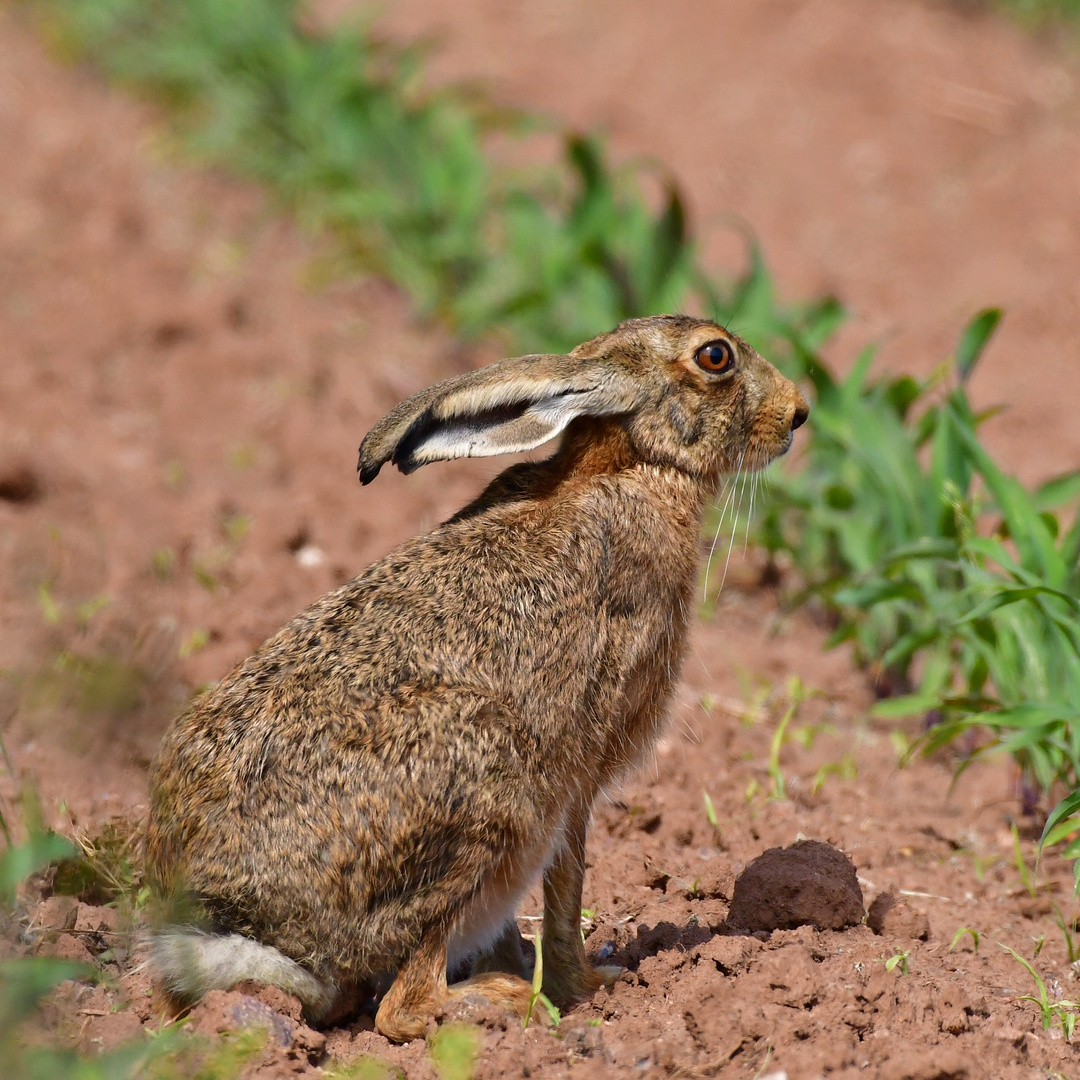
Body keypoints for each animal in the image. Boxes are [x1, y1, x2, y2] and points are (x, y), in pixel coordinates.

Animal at [144, 314, 809, 1042]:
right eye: (715, 356)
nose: (798, 412)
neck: (635, 467)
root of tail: (244, 926)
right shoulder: (578, 772)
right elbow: (567, 884)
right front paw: (589, 986)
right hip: (485, 779)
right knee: (402, 1008)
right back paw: (510, 1001)